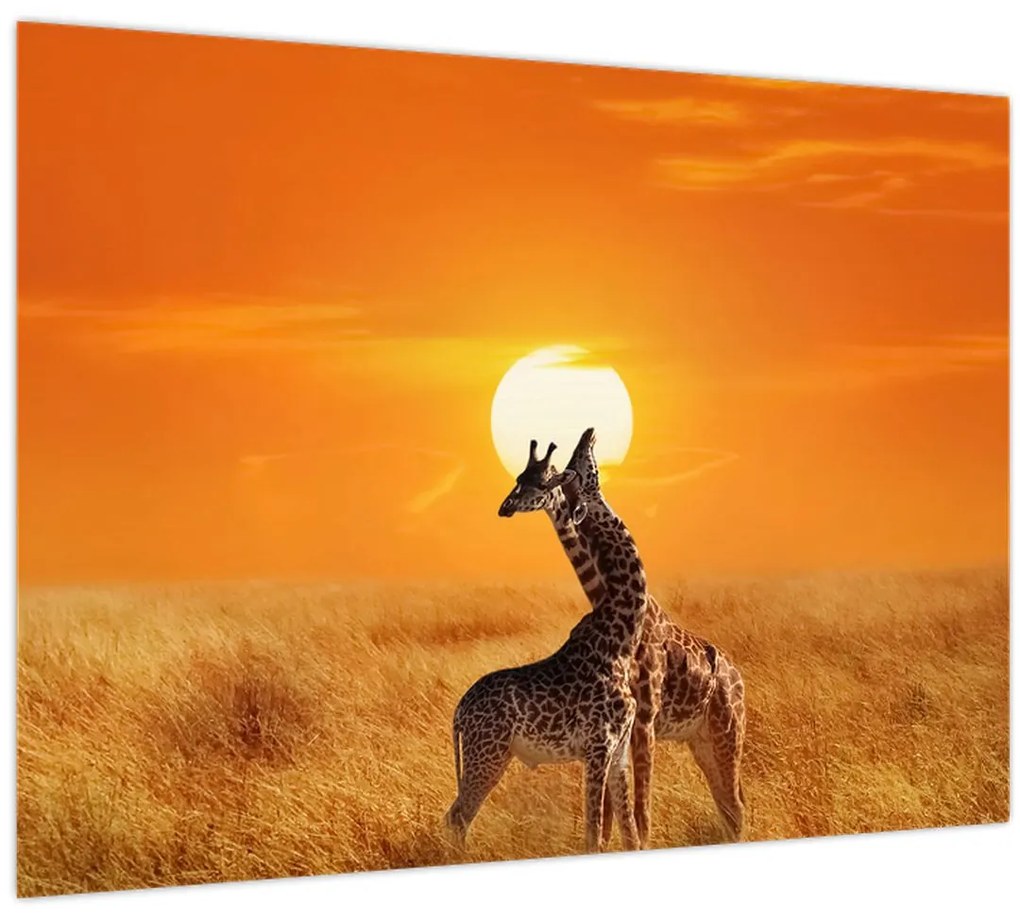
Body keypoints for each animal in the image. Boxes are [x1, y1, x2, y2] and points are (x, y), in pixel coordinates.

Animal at [445, 437, 650, 852]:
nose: (589, 435)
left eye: (540, 479)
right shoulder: (597, 746)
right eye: (582, 468)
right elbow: (593, 833)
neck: (621, 638)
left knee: (455, 815)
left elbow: (629, 835)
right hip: (488, 753)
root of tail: (458, 712)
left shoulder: (619, 749)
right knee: (458, 815)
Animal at [520, 428, 746, 845]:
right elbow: (615, 810)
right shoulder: (623, 724)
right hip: (701, 740)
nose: (587, 433)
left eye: (565, 470)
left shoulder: (644, 718)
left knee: (735, 804)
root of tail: (737, 675)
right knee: (727, 802)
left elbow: (639, 809)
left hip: (728, 730)